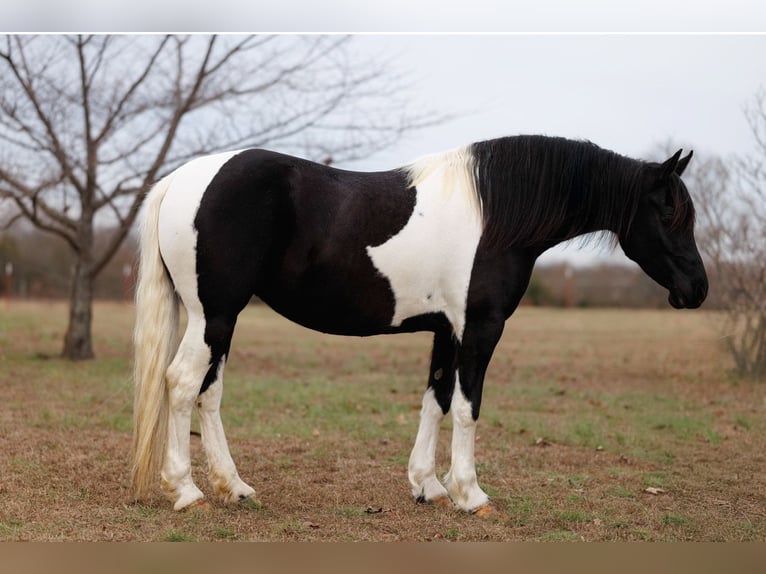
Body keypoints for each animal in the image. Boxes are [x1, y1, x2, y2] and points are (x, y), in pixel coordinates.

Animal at [130, 135, 708, 514]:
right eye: (668, 214)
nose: (697, 289)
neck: (497, 215)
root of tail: (181, 181)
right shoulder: (481, 327)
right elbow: (469, 407)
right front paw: (471, 494)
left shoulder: (445, 329)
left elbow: (437, 400)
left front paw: (428, 486)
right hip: (213, 315)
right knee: (182, 384)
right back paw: (187, 492)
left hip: (221, 319)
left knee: (208, 392)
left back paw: (234, 487)